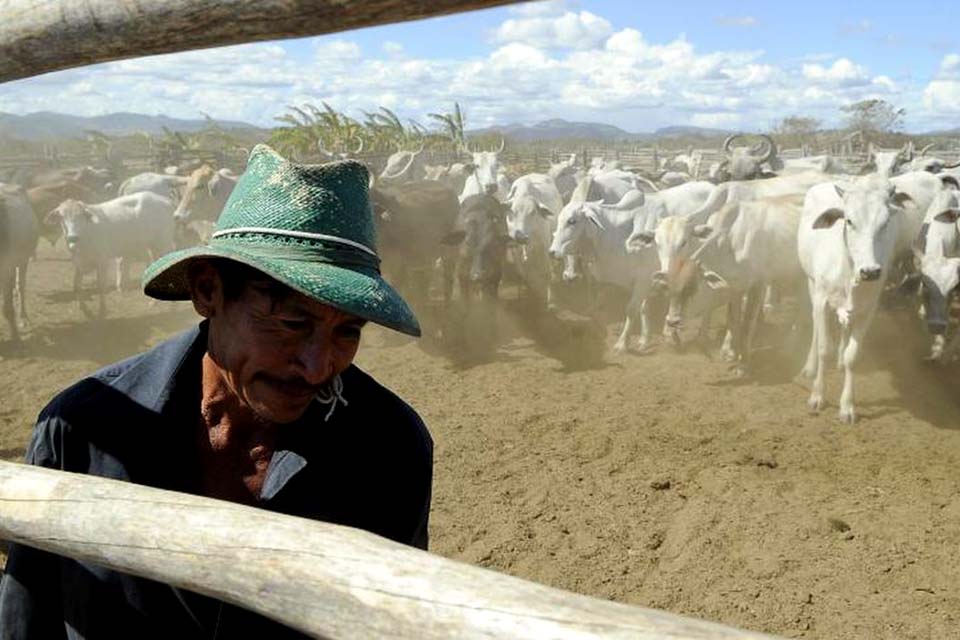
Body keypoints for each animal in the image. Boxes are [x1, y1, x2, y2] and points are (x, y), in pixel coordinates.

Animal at [45, 192, 176, 318]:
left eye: (81, 216)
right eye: (62, 217)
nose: (73, 237)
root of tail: (165, 201)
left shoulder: (102, 261)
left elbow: (101, 286)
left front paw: (102, 310)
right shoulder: (79, 263)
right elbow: (76, 285)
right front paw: (85, 309)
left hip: (163, 243)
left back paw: (173, 305)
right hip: (152, 246)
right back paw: (154, 302)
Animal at [796, 178, 916, 422]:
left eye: (885, 222)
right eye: (849, 221)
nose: (870, 271)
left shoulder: (867, 309)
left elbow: (853, 355)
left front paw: (847, 406)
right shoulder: (822, 301)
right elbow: (824, 348)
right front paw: (817, 396)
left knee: (845, 330)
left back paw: (840, 361)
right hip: (811, 284)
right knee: (815, 328)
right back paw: (810, 366)